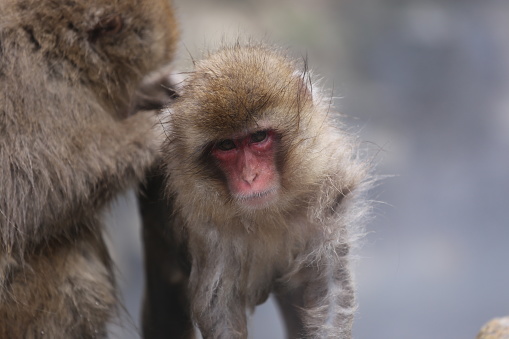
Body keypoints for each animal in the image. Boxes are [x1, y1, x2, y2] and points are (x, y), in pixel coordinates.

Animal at [161, 44, 368, 339]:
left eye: (258, 137)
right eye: (226, 145)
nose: (250, 177)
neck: (270, 211)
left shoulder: (328, 192)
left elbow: (330, 282)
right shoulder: (207, 224)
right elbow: (217, 302)